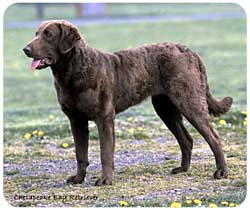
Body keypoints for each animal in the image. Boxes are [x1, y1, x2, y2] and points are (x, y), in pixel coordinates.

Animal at [23, 20, 232, 185]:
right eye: (36, 34)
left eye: (48, 35)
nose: (25, 49)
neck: (73, 72)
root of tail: (188, 51)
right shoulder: (76, 121)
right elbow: (80, 154)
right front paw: (78, 179)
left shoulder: (104, 118)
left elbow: (105, 153)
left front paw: (105, 180)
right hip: (165, 108)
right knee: (186, 139)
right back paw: (182, 169)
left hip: (189, 102)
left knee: (213, 137)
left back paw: (221, 171)